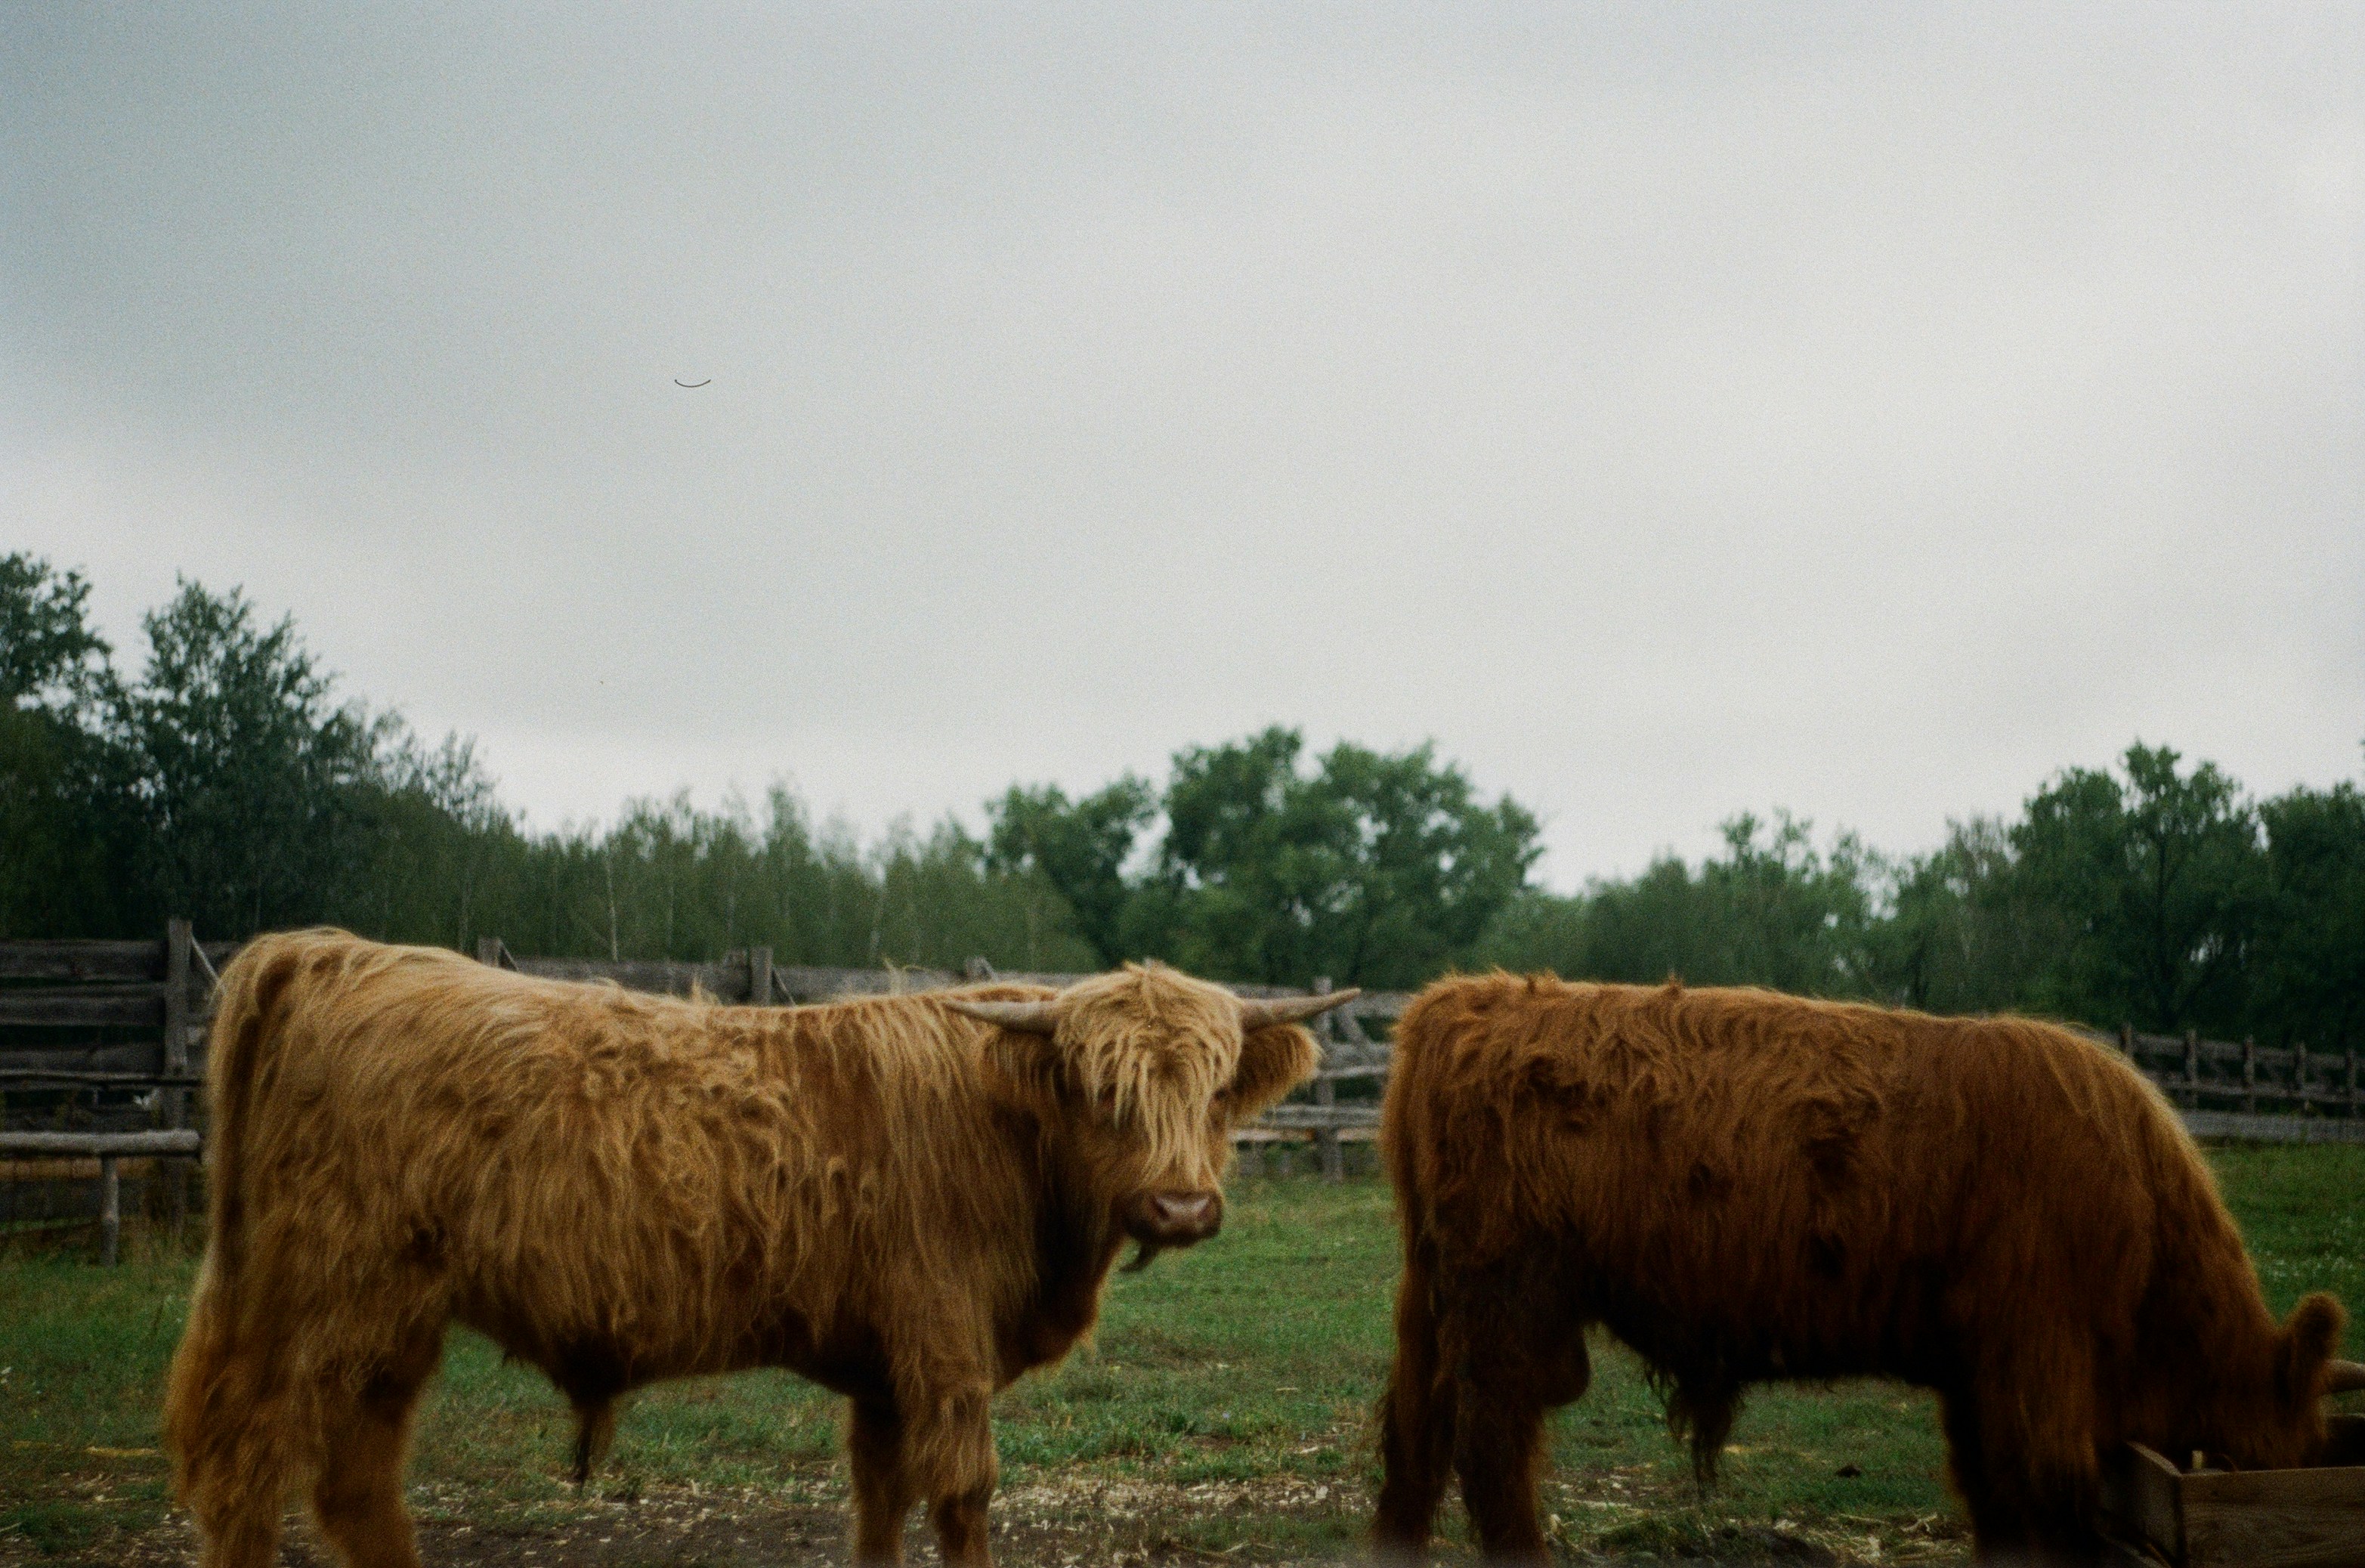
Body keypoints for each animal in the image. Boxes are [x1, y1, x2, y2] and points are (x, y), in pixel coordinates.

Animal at [162, 930, 1348, 1568]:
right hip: (326, 1294)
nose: (1180, 1206)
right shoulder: (943, 1344)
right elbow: (961, 1493)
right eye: (1104, 1088)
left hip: (393, 1316)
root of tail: (338, 952)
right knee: (251, 1464)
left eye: (1214, 1087)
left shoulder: (885, 1368)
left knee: (355, 1477)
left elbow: (881, 1497)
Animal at [1371, 974, 2365, 1564]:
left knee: (1413, 1432)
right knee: (1492, 1448)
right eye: (2270, 1456)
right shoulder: (2036, 1357)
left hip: (1435, 1293)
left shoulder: (1978, 1369)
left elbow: (1992, 1492)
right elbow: (2036, 1492)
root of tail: (1465, 997)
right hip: (1507, 1301)